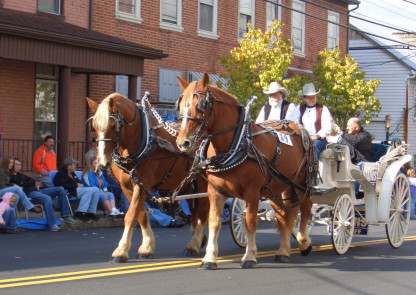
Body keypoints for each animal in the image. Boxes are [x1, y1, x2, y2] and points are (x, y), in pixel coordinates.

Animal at [85, 93, 208, 262]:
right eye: (94, 127)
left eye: (113, 126)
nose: (103, 162)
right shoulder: (127, 186)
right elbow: (141, 215)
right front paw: (147, 247)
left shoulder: (143, 184)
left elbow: (131, 215)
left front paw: (121, 251)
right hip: (188, 183)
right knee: (195, 210)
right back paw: (200, 239)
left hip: (203, 182)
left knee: (202, 212)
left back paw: (194, 245)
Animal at [175, 74, 316, 270]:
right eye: (180, 105)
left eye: (200, 106)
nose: (183, 143)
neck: (235, 145)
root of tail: (297, 127)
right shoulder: (215, 191)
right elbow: (214, 222)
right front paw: (209, 258)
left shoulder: (252, 192)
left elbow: (250, 222)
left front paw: (249, 256)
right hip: (277, 189)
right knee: (285, 216)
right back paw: (283, 251)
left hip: (302, 183)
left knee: (306, 208)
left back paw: (304, 242)